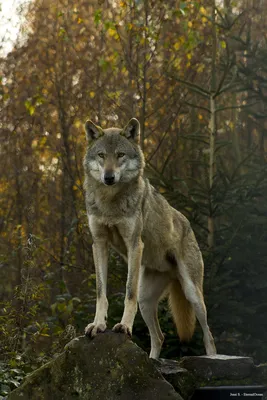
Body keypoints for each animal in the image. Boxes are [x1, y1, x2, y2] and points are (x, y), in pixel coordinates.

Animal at [84, 117, 218, 358]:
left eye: (120, 155)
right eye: (101, 155)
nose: (109, 177)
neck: (110, 201)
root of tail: (188, 224)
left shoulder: (134, 244)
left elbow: (128, 292)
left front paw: (124, 326)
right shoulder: (98, 244)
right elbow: (101, 292)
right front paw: (98, 325)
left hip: (192, 294)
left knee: (208, 335)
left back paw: (214, 358)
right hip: (146, 300)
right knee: (159, 337)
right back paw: (152, 360)